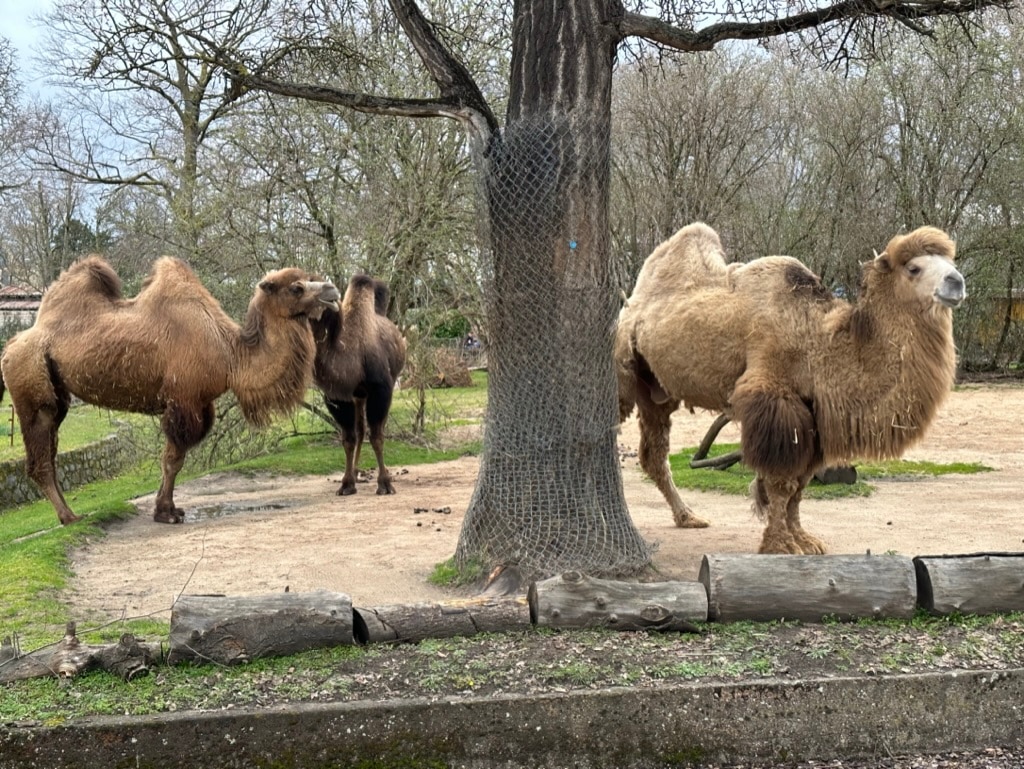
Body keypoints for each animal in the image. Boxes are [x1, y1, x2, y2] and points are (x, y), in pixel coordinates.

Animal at [0, 255, 339, 528]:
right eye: (296, 287)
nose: (332, 291)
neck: (230, 354)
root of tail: (13, 343)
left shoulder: (202, 404)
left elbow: (177, 458)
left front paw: (171, 508)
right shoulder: (182, 400)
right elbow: (173, 459)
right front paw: (166, 513)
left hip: (57, 395)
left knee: (49, 452)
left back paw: (67, 514)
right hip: (31, 385)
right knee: (41, 458)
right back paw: (70, 517)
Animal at [311, 276, 407, 499]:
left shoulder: (381, 390)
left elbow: (377, 436)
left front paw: (385, 484)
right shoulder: (337, 396)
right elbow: (348, 438)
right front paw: (347, 484)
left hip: (385, 385)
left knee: (374, 429)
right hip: (359, 396)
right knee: (360, 430)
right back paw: (354, 472)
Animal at [614, 221, 966, 552]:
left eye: (950, 261)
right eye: (913, 268)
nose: (957, 282)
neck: (818, 339)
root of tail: (632, 304)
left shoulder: (813, 416)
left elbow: (800, 484)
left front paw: (804, 539)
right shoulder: (773, 399)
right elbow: (780, 483)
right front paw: (779, 543)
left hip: (658, 393)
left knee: (654, 455)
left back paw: (688, 517)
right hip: (621, 366)